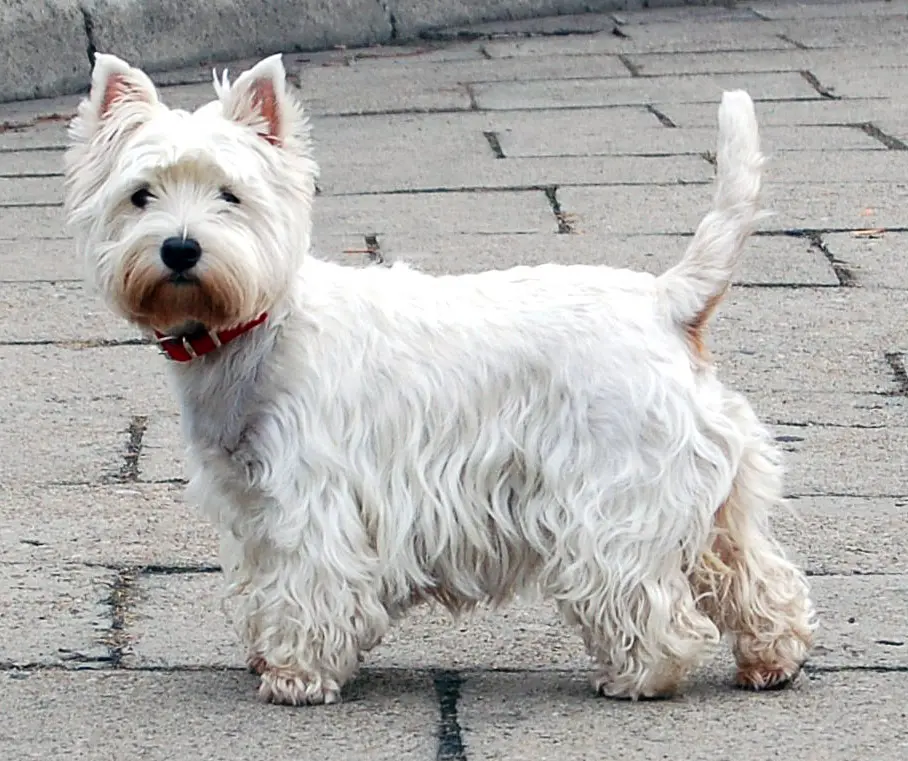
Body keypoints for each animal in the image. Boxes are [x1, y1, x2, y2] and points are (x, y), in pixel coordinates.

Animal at [63, 55, 816, 708]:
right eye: (139, 196)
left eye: (231, 195)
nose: (180, 248)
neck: (253, 326)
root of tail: (665, 300)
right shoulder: (250, 500)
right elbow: (262, 581)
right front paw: (266, 653)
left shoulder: (312, 496)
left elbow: (311, 583)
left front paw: (297, 675)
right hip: (716, 491)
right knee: (756, 573)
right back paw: (771, 660)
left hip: (616, 489)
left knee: (646, 595)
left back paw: (637, 677)